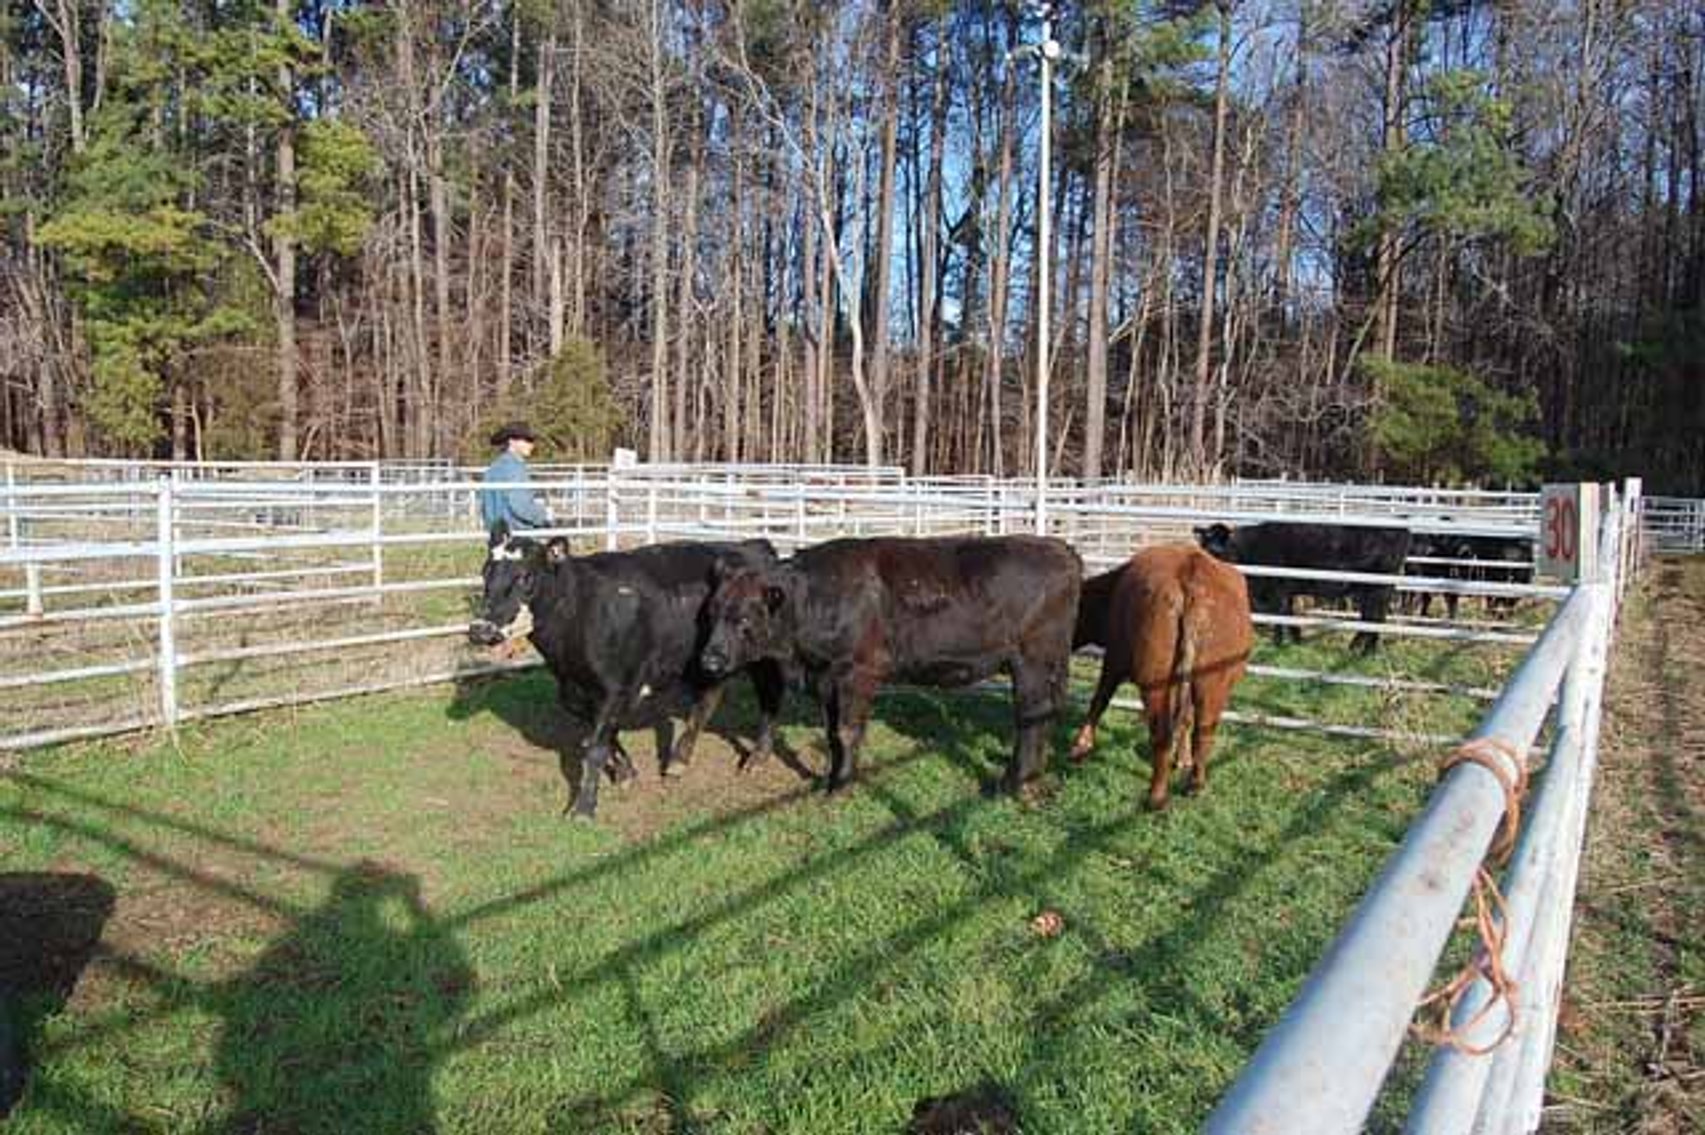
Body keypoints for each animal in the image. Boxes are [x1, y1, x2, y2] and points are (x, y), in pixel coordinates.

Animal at [467, 523, 786, 820]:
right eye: (485, 572)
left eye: (525, 576)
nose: (480, 630)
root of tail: (752, 546)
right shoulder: (574, 693)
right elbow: (604, 737)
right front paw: (626, 772)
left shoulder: (616, 689)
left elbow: (595, 748)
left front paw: (584, 809)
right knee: (708, 698)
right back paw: (679, 760)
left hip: (761, 658)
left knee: (767, 696)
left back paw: (756, 757)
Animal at [698, 536, 1083, 794]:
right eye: (713, 612)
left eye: (745, 618)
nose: (709, 660)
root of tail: (1058, 547)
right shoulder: (826, 679)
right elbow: (832, 733)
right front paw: (830, 779)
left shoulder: (857, 672)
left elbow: (847, 731)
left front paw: (840, 787)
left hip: (1033, 663)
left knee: (1032, 718)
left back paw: (1014, 784)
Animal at [1069, 546, 1254, 810]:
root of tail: (1192, 571)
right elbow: (1185, 717)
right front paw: (1183, 758)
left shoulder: (1114, 658)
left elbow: (1099, 699)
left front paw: (1080, 746)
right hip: (1212, 682)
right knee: (1204, 730)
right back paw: (1195, 783)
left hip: (1155, 681)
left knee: (1162, 734)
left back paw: (1156, 796)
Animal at [1194, 521, 1411, 653]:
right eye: (1204, 547)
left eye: (1217, 550)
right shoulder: (1287, 591)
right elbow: (1289, 614)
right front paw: (1297, 640)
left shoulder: (1277, 589)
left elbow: (1280, 615)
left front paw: (1278, 643)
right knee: (1370, 618)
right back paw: (1356, 647)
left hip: (1378, 589)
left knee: (1375, 618)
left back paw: (1367, 651)